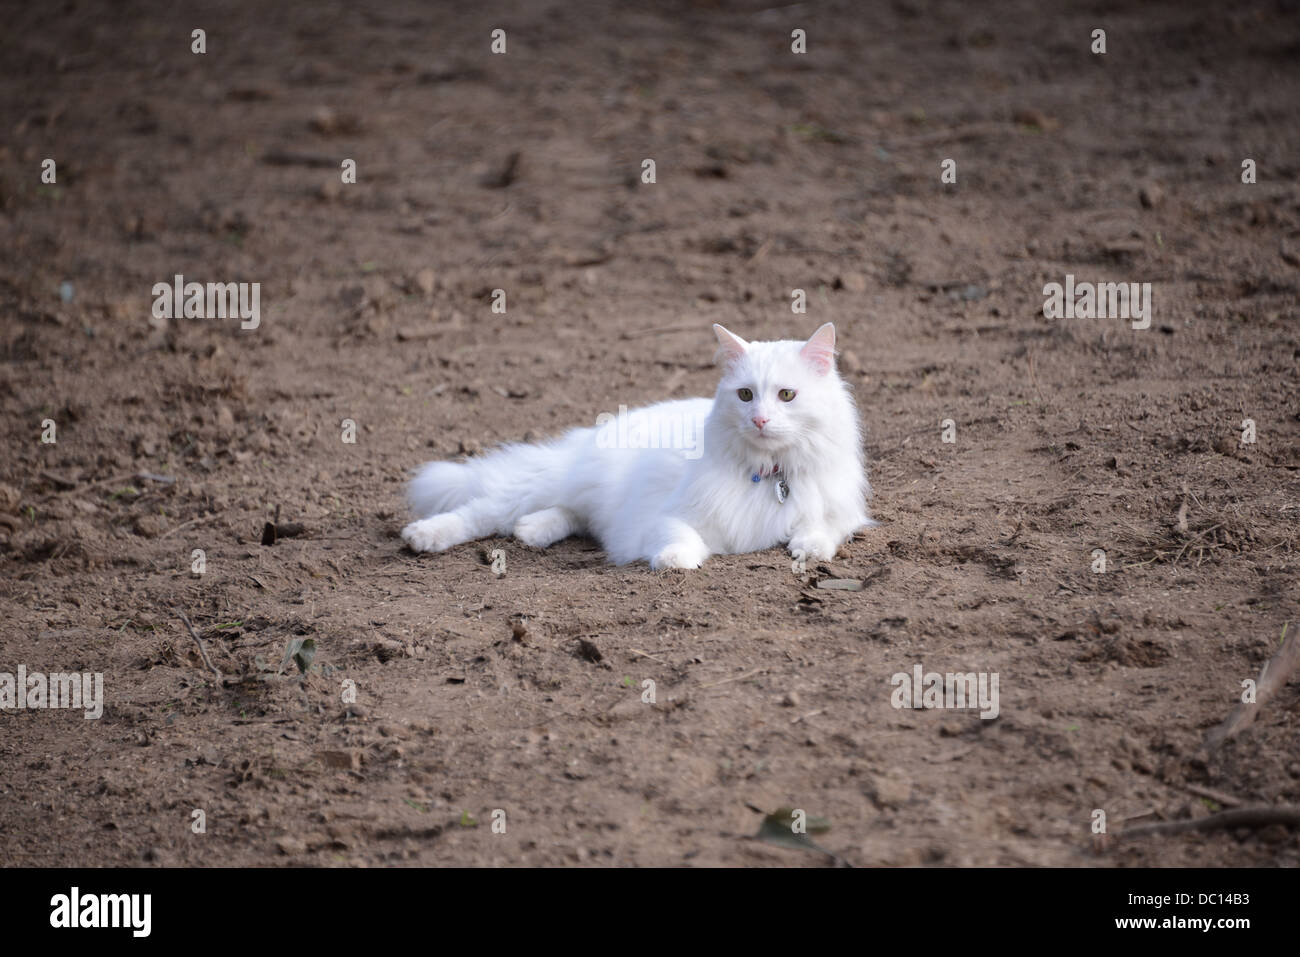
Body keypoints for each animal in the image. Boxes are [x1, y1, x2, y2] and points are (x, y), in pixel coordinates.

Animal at [403, 321, 873, 566]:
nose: (759, 419)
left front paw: (808, 550)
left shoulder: (840, 512)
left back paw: (532, 531)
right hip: (542, 484)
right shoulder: (670, 515)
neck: (769, 473)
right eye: (745, 395)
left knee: (572, 517)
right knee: (481, 512)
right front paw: (676, 561)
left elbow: (822, 529)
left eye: (787, 395)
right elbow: (677, 538)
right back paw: (423, 536)